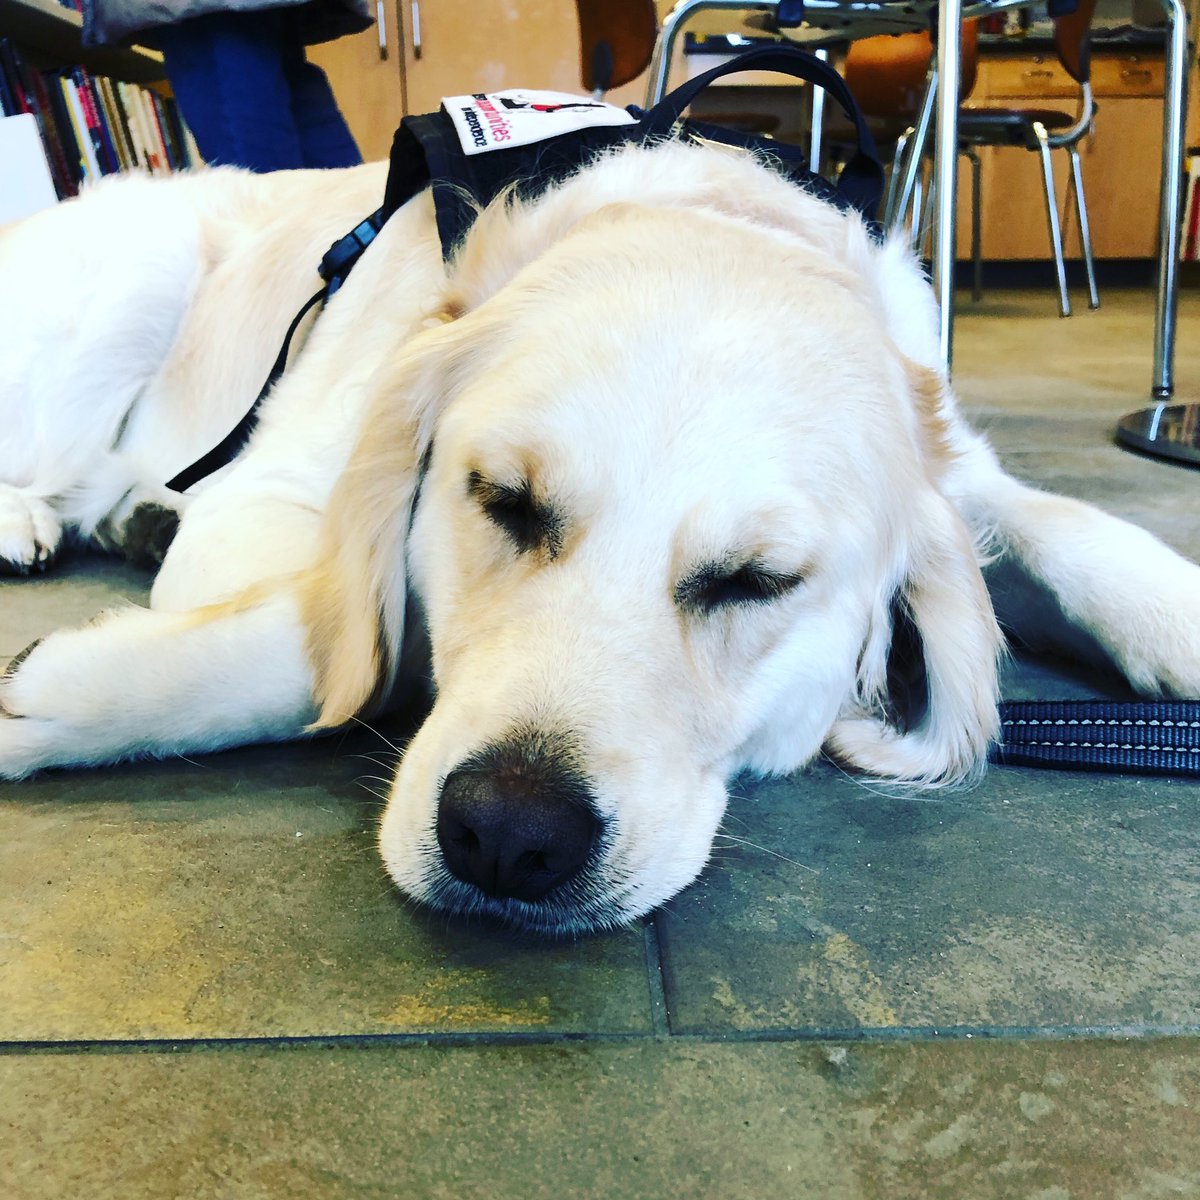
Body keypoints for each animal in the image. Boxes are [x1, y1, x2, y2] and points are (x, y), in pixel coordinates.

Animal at [2, 142, 1200, 936]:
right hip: (132, 284)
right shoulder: (260, 502)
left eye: (757, 582)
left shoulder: (959, 464)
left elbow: (1063, 527)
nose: (507, 836)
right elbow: (352, 640)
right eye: (501, 500)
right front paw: (62, 693)